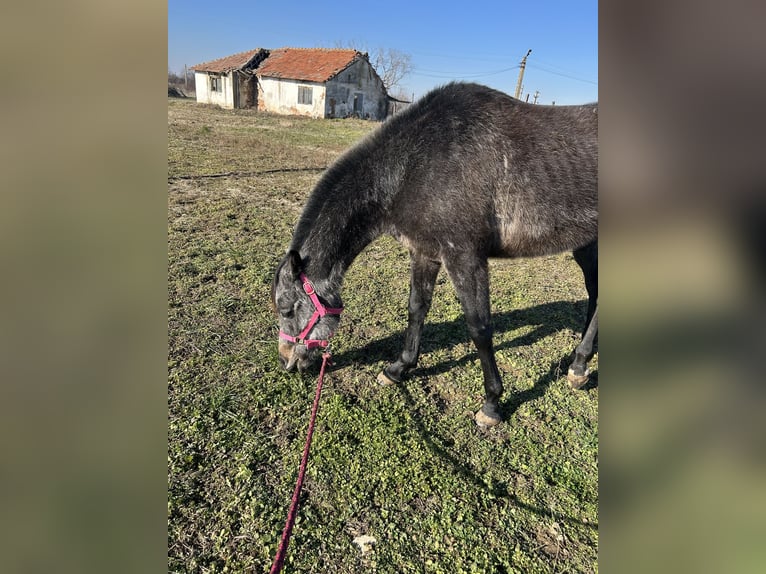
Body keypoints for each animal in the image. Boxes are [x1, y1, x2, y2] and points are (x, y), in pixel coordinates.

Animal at [272, 83, 600, 430]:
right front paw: (397, 369)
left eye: (287, 309)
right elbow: (417, 308)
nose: (286, 360)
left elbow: (479, 327)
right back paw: (579, 366)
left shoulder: (464, 257)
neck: (414, 166)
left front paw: (492, 404)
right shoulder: (425, 252)